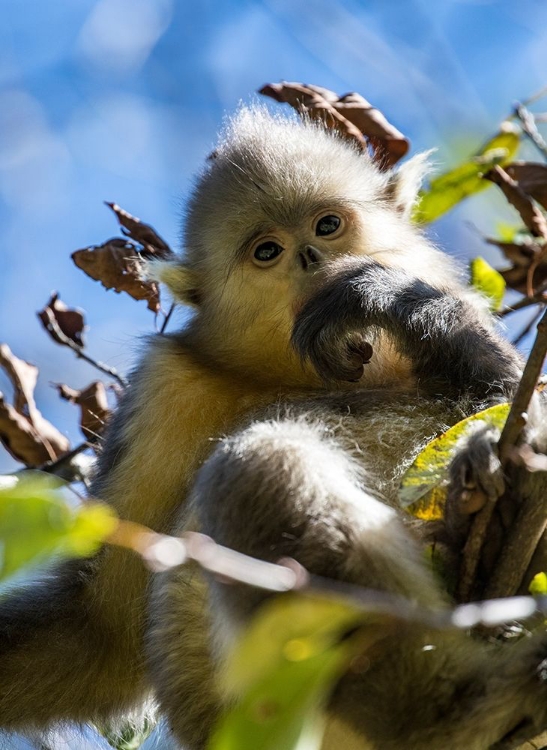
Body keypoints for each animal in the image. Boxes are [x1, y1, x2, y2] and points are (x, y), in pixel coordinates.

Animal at [1, 107, 547, 750]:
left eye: (328, 225)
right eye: (267, 252)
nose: (309, 257)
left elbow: (508, 399)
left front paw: (390, 300)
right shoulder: (168, 383)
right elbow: (100, 635)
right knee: (258, 463)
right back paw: (448, 713)